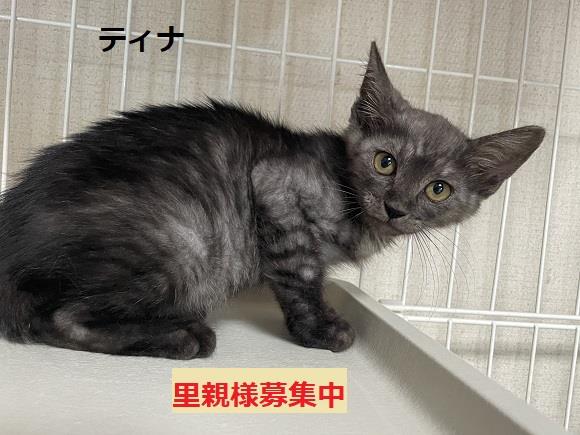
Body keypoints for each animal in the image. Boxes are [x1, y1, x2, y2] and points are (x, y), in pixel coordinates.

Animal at [0, 42, 544, 359]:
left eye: (438, 189)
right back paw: (183, 336)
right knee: (61, 318)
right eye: (385, 162)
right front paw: (319, 331)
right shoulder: (275, 182)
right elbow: (300, 275)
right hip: (181, 247)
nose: (396, 208)